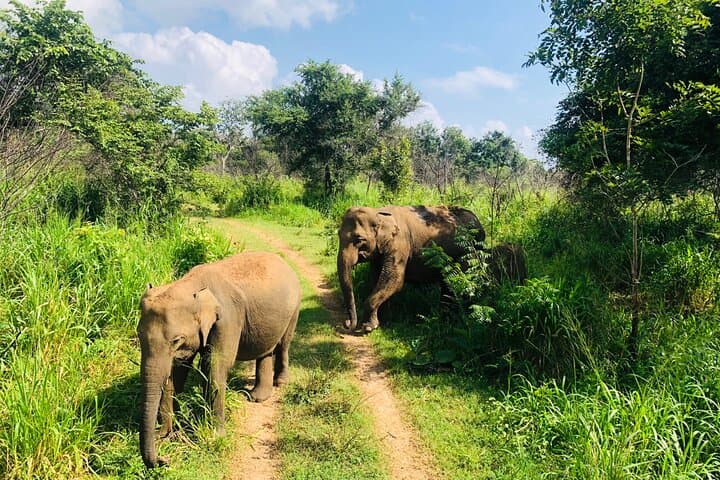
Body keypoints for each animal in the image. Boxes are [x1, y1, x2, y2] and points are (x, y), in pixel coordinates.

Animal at [137, 251, 301, 469]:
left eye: (176, 340)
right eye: (139, 335)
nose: (165, 460)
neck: (191, 285)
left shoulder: (227, 319)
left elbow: (215, 366)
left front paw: (216, 436)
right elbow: (177, 371)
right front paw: (168, 433)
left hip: (295, 308)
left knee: (284, 344)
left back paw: (280, 383)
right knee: (265, 351)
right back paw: (257, 397)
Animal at [337, 205, 485, 332]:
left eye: (359, 239)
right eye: (338, 234)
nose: (347, 324)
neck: (379, 213)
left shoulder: (400, 245)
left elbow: (394, 280)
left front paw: (368, 327)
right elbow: (377, 279)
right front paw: (383, 322)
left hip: (470, 252)